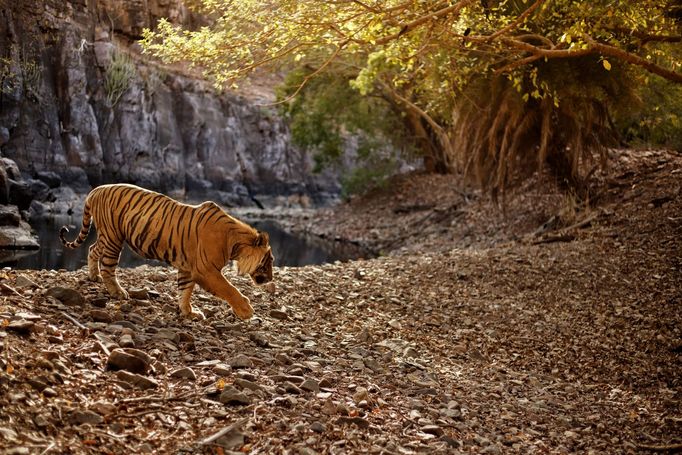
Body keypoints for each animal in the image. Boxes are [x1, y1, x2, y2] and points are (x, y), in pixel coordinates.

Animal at [57, 183, 270, 320]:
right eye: (268, 260)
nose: (270, 279)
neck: (235, 244)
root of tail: (95, 190)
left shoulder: (188, 268)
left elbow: (185, 290)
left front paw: (188, 312)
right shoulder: (206, 270)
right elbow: (229, 289)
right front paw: (246, 310)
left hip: (106, 235)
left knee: (92, 249)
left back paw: (93, 276)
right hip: (113, 236)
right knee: (108, 266)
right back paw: (118, 292)